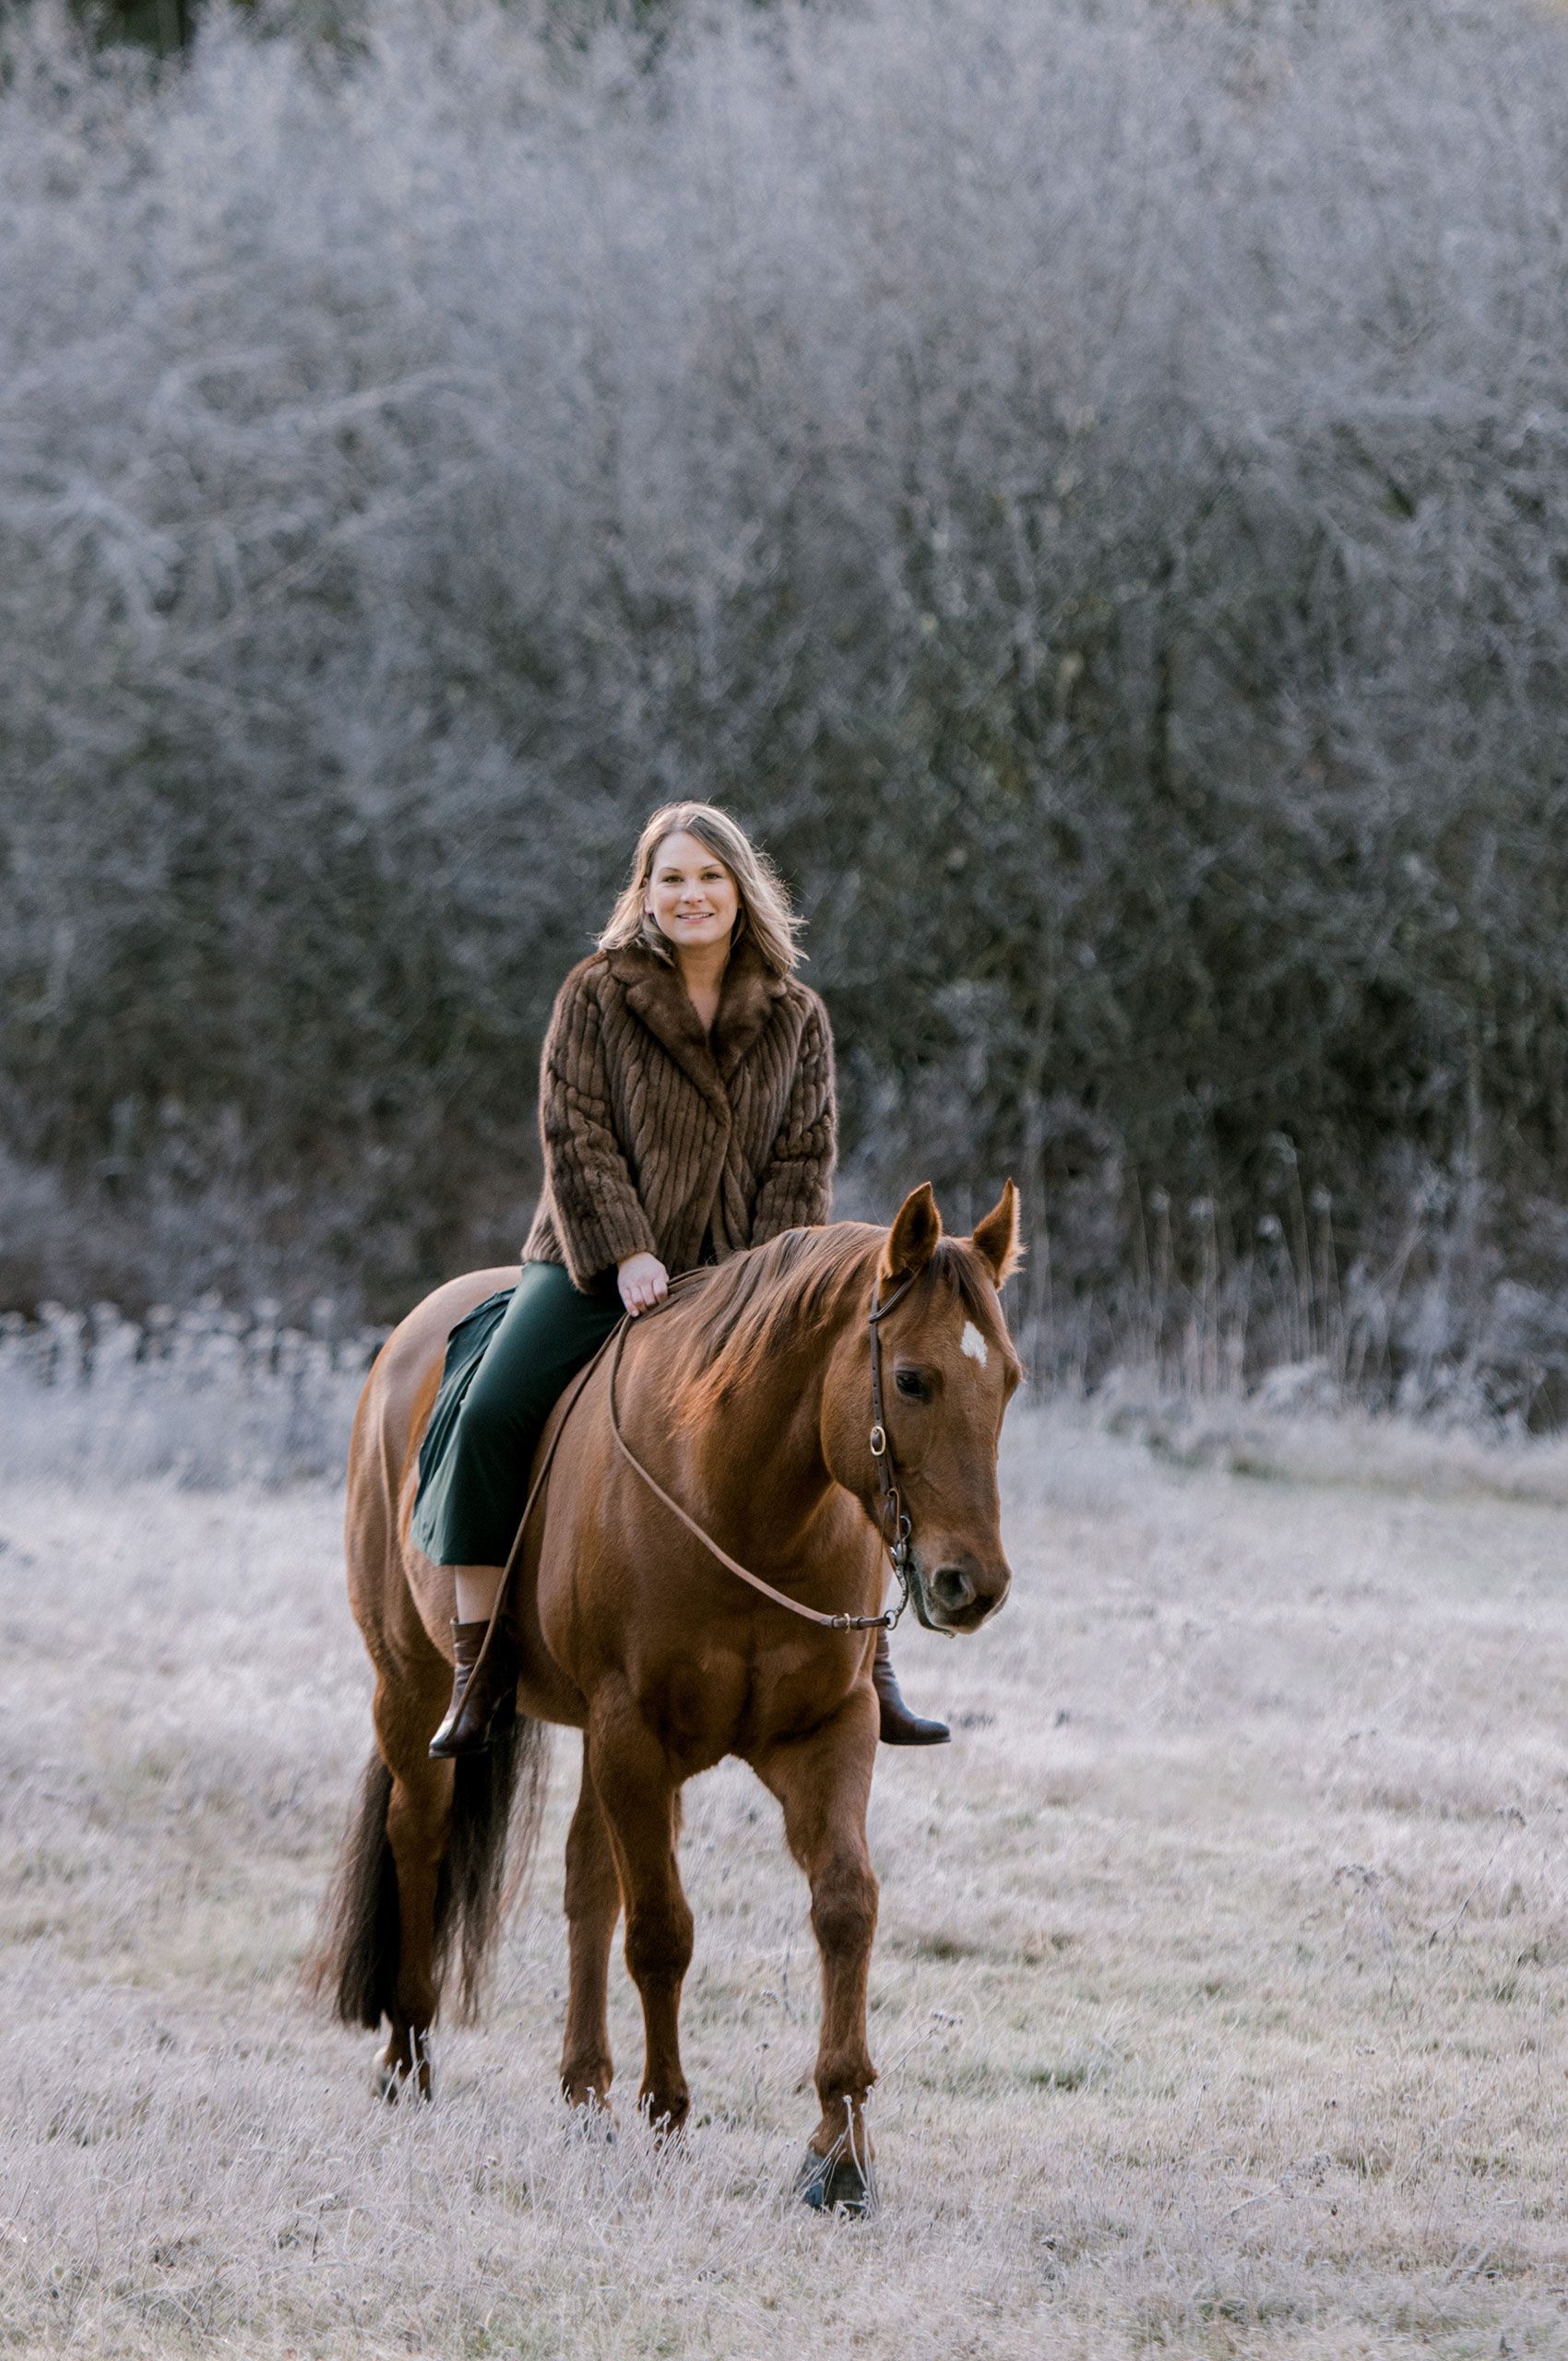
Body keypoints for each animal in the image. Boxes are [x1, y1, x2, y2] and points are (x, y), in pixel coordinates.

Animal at [316, 1180, 1029, 2210]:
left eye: (1007, 1381)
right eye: (912, 1381)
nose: (972, 1584)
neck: (739, 1498)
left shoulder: (827, 1732)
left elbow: (844, 1906)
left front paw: (839, 2151)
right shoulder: (633, 1735)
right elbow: (660, 1930)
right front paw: (666, 2115)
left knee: (584, 1880)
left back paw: (584, 2094)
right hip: (410, 1687)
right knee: (421, 1834)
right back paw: (407, 2057)